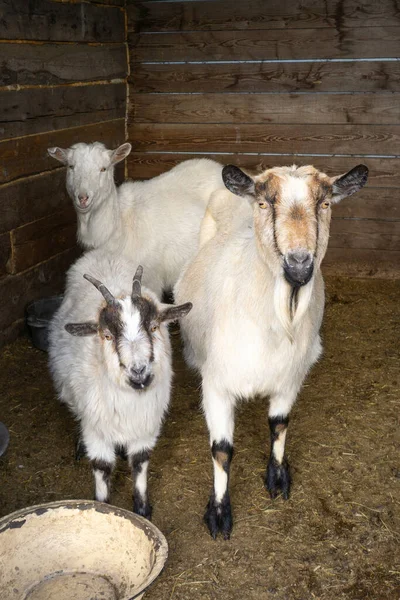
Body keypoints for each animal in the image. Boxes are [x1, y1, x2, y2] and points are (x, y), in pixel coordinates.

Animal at [48, 251, 192, 516]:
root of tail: (101, 253)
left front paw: (142, 509)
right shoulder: (96, 429)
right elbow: (102, 466)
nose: (139, 373)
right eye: (107, 335)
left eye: (154, 326)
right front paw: (102, 508)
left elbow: (140, 461)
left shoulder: (146, 424)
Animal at [175, 161, 368, 540]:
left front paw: (277, 477)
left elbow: (279, 425)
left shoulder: (289, 376)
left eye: (325, 204)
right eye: (264, 203)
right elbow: (221, 450)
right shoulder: (217, 384)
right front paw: (219, 514)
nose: (299, 264)